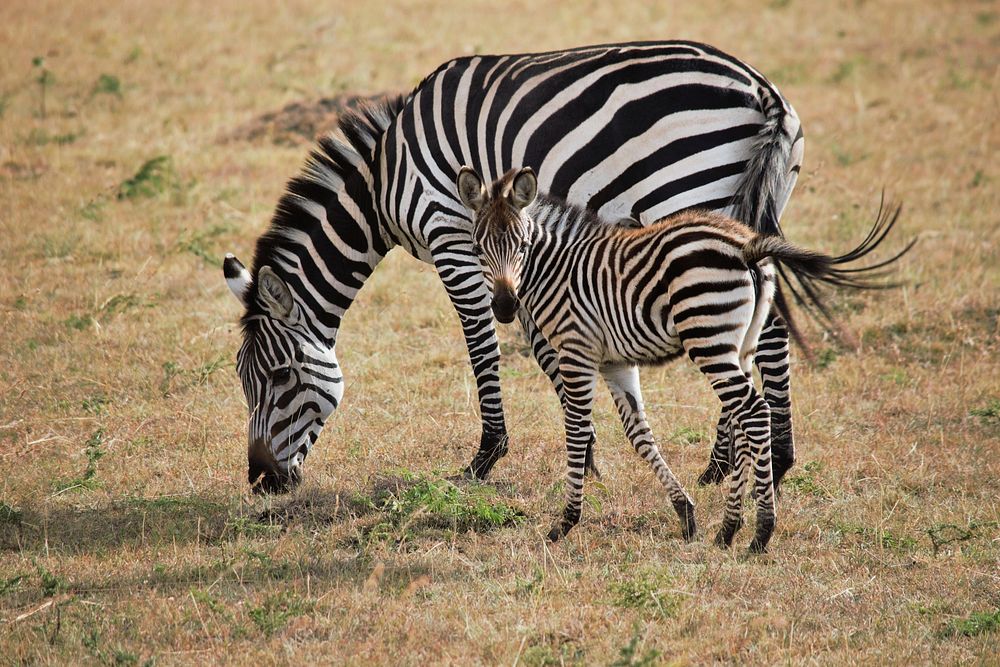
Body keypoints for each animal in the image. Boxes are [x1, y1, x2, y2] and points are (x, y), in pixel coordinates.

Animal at [221, 39, 804, 494]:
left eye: (280, 376)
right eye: (243, 381)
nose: (261, 481)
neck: (384, 179)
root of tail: (763, 90)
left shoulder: (451, 235)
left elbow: (482, 344)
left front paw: (487, 456)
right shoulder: (509, 252)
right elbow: (544, 347)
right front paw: (587, 453)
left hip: (689, 194)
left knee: (749, 325)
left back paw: (750, 463)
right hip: (754, 207)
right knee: (763, 320)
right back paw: (752, 461)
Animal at [458, 164, 912, 552]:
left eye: (521, 246)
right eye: (478, 248)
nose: (503, 307)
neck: (557, 269)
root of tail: (747, 246)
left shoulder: (576, 352)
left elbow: (575, 430)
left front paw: (565, 521)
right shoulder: (614, 361)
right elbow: (639, 434)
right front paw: (685, 512)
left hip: (707, 336)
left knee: (751, 412)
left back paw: (759, 532)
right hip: (740, 344)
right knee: (742, 416)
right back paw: (729, 530)